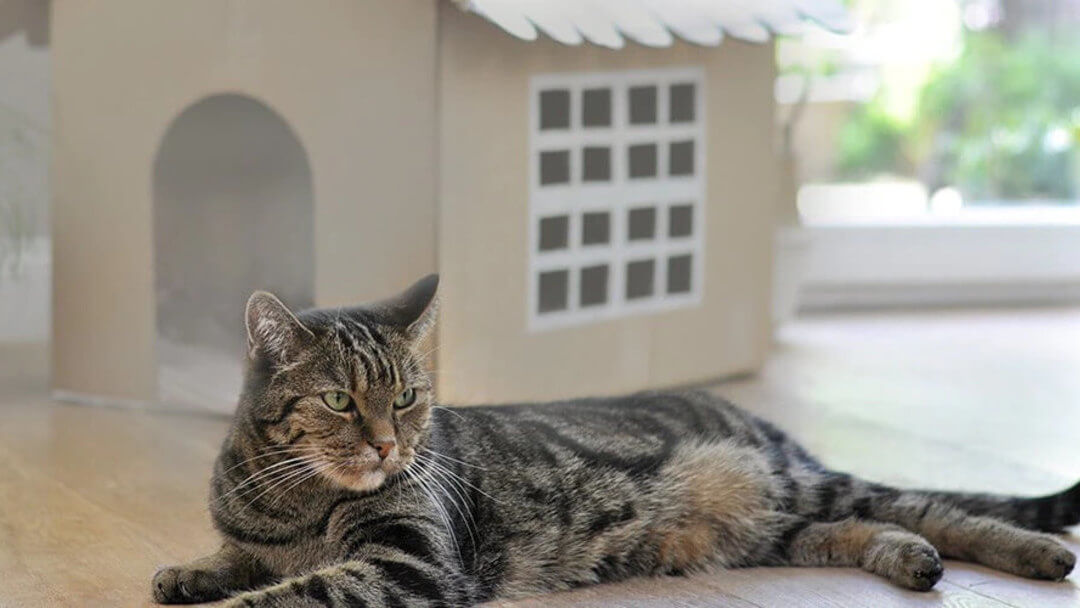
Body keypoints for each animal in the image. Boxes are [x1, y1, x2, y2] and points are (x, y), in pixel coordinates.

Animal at [152, 273, 1080, 604]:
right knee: (861, 527)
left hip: (793, 485)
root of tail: (765, 427)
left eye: (408, 399)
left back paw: (1034, 553)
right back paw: (910, 561)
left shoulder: (410, 562)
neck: (291, 502)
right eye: (341, 401)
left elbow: (288, 593)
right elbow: (234, 561)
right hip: (774, 529)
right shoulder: (259, 539)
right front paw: (186, 572)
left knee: (928, 506)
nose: (388, 447)